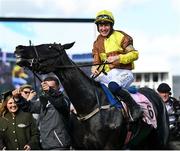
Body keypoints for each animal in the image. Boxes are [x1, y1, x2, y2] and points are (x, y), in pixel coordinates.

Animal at [14, 42, 170, 149]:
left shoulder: (110, 147)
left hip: (160, 140)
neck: (90, 104)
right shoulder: (80, 147)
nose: (19, 48)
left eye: (50, 47)